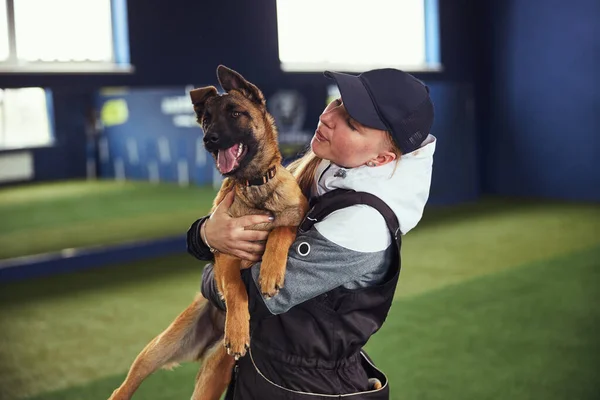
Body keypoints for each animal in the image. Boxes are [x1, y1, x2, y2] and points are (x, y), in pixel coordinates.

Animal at [106, 66, 310, 400]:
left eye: (236, 113)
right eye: (206, 120)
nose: (208, 139)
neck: (254, 187)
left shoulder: (293, 219)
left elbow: (279, 232)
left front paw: (269, 272)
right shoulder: (226, 253)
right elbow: (237, 289)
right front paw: (238, 328)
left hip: (214, 373)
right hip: (158, 348)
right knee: (125, 384)